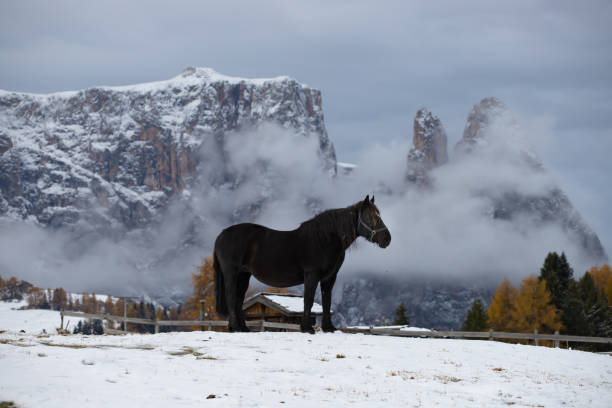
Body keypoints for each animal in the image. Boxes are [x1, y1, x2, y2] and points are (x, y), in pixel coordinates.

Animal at [213, 196, 390, 334]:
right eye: (371, 217)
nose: (387, 239)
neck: (324, 239)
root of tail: (221, 235)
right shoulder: (311, 275)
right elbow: (309, 299)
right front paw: (307, 328)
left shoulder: (329, 278)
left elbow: (327, 301)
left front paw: (329, 328)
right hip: (232, 272)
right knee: (231, 297)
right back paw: (236, 327)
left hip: (244, 275)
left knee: (238, 298)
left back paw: (242, 328)